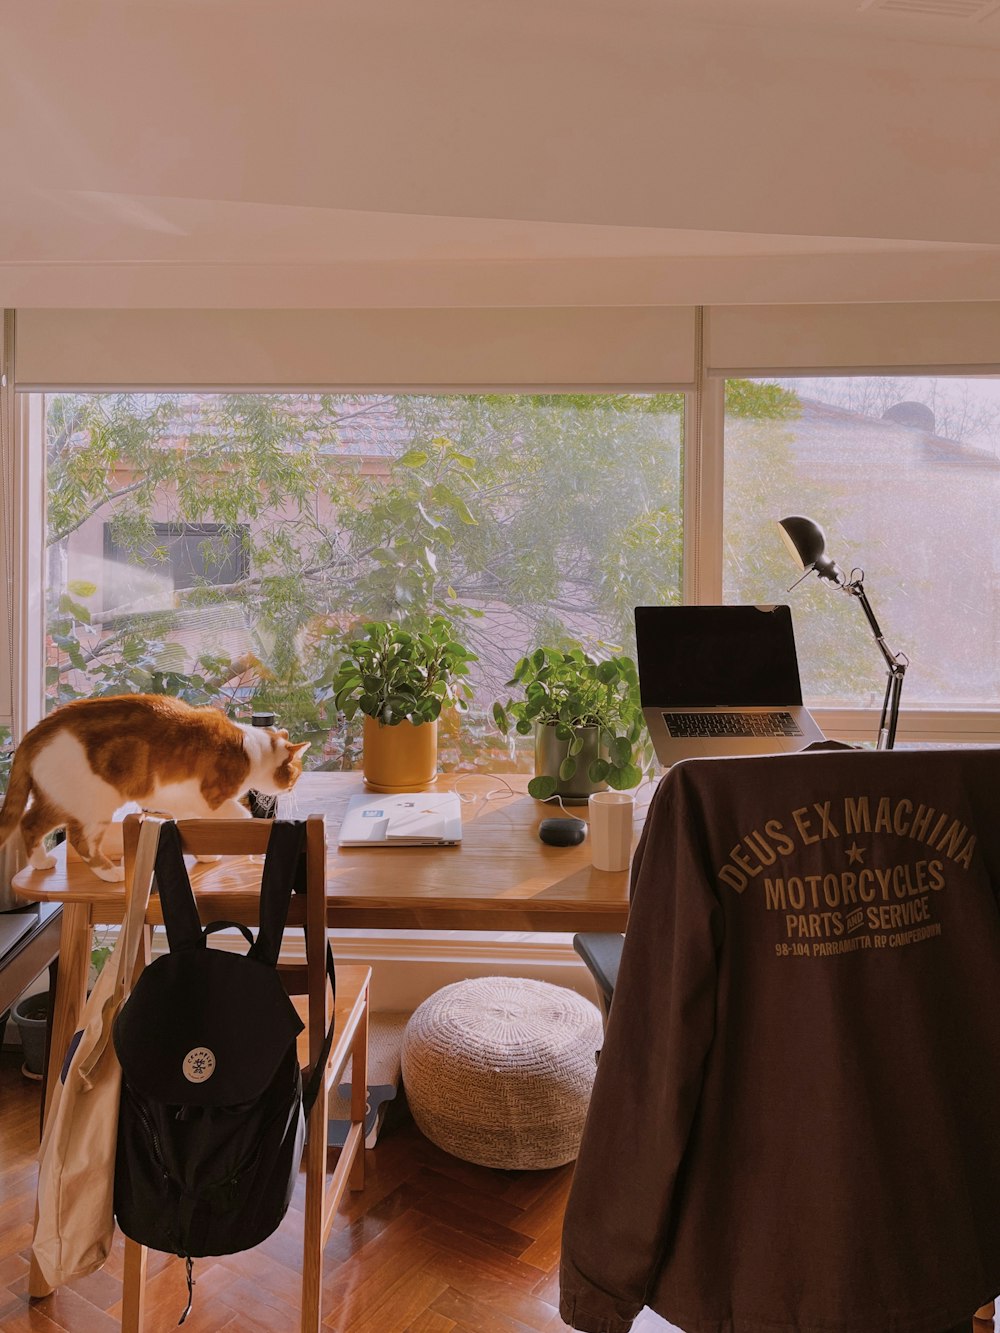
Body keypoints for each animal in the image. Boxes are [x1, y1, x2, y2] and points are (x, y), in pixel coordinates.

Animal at [0, 693, 309, 879]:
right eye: (295, 775)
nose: (293, 788)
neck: (250, 750)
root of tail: (37, 731)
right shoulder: (212, 800)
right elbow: (243, 817)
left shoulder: (181, 802)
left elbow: (192, 830)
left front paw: (206, 856)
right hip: (94, 804)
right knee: (80, 840)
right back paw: (110, 873)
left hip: (60, 800)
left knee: (29, 823)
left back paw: (41, 862)